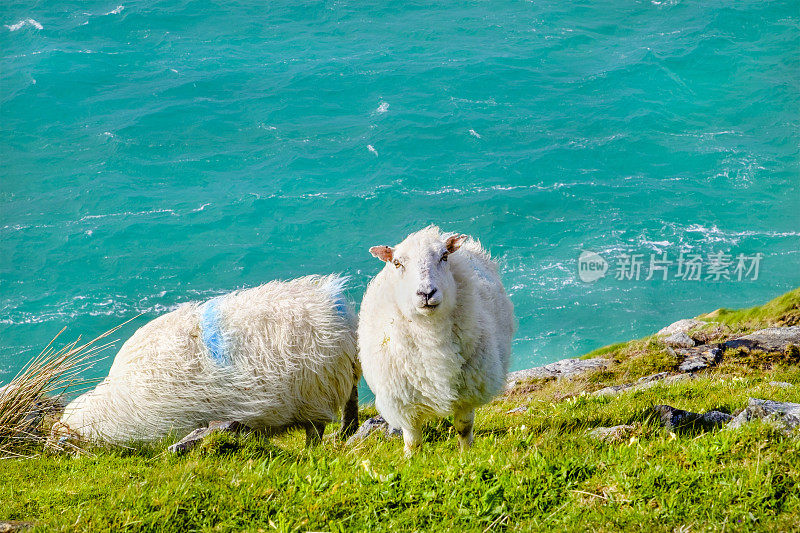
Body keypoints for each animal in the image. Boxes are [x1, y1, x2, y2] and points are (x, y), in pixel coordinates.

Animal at [57, 274, 364, 444]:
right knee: (351, 400)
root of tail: (334, 304)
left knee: (317, 427)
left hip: (314, 390)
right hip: (342, 372)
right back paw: (346, 432)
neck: (112, 404)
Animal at [358, 225, 520, 454]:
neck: (432, 336)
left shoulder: (467, 392)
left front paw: (466, 454)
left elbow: (464, 427)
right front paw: (411, 459)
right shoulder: (404, 402)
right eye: (397, 263)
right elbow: (413, 440)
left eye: (444, 256)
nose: (426, 293)